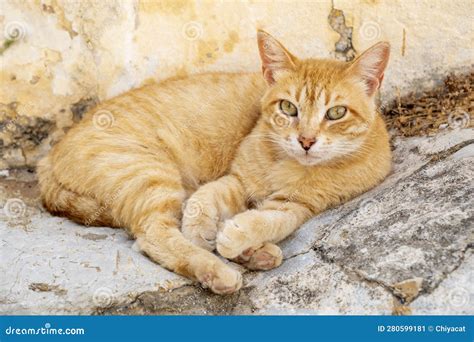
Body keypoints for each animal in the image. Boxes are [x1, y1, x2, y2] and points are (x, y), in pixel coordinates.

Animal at [38, 31, 392, 294]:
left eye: (336, 113)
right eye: (288, 108)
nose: (306, 140)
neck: (287, 163)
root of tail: (48, 158)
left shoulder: (296, 205)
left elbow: (267, 220)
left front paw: (237, 236)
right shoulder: (237, 179)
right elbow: (204, 199)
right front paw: (201, 232)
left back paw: (254, 253)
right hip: (150, 174)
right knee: (153, 235)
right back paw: (217, 270)